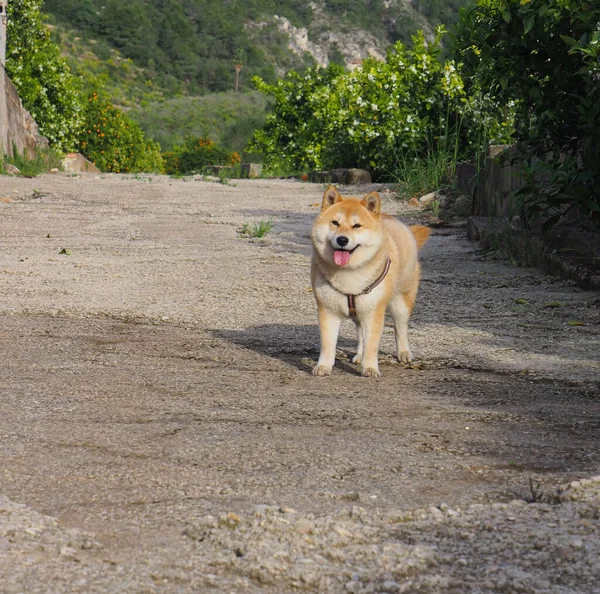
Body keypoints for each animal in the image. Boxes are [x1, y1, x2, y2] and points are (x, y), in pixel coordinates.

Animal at [312, 186, 428, 374]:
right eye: (335, 223)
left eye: (356, 225)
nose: (342, 239)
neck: (349, 273)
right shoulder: (328, 310)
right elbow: (328, 344)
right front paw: (323, 366)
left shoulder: (374, 312)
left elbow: (372, 344)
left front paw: (371, 368)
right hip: (358, 310)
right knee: (360, 333)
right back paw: (359, 355)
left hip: (400, 302)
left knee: (400, 328)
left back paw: (404, 353)